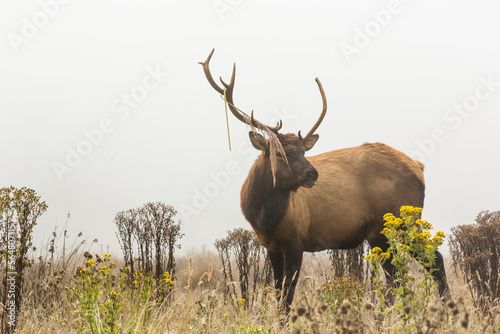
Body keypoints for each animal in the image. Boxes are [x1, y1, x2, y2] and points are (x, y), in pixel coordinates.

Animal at [200, 49, 454, 316]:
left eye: (303, 151)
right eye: (280, 153)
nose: (313, 173)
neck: (263, 217)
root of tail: (419, 168)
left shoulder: (296, 239)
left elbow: (288, 293)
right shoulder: (270, 245)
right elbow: (278, 291)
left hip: (404, 220)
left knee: (434, 258)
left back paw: (445, 308)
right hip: (381, 233)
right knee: (395, 276)